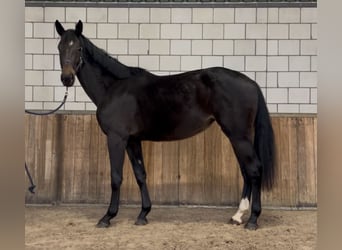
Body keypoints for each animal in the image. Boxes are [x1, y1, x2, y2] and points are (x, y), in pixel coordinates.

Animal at [54, 20, 276, 230]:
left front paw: (107, 217)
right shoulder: (132, 141)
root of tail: (252, 83)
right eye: (59, 47)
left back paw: (252, 220)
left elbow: (116, 177)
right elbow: (140, 175)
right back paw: (238, 216)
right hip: (239, 137)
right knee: (246, 171)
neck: (114, 88)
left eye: (78, 48)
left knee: (254, 169)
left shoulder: (117, 138)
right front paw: (143, 214)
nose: (66, 78)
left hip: (238, 136)